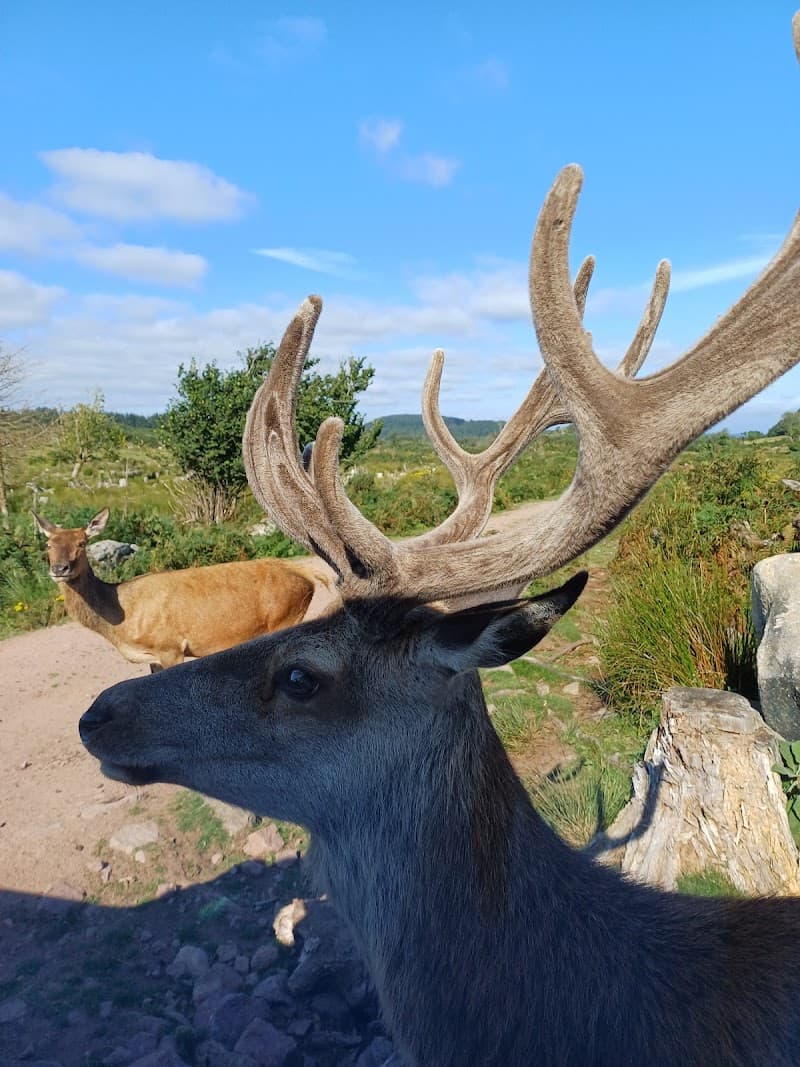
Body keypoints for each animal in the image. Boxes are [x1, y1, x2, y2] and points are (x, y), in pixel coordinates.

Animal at [34, 507, 323, 670]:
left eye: (82, 543)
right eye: (48, 544)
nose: (60, 568)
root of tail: (305, 573)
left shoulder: (170, 646)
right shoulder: (152, 656)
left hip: (284, 618)